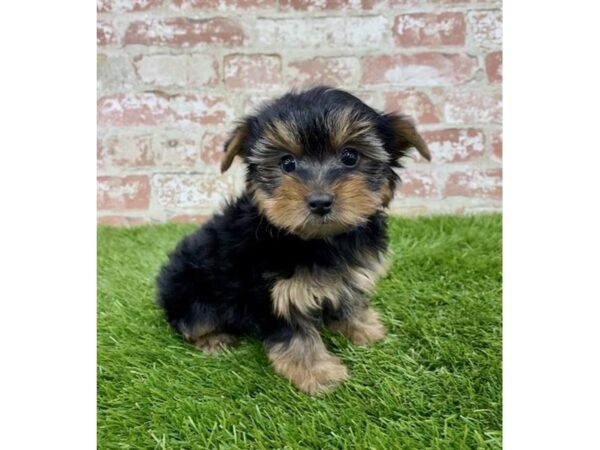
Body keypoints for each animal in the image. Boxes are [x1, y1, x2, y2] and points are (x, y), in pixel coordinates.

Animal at [156, 85, 432, 394]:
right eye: (287, 163)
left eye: (350, 157)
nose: (320, 201)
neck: (318, 239)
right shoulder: (271, 295)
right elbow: (296, 336)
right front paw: (319, 374)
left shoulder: (349, 274)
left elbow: (350, 300)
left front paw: (365, 330)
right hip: (189, 288)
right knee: (192, 322)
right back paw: (214, 339)